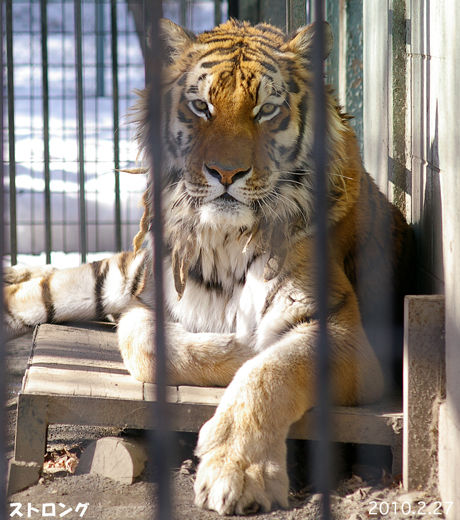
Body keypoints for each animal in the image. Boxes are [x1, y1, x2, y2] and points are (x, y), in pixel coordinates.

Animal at [4, 18, 414, 512]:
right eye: (201, 106)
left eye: (266, 110)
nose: (226, 173)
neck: (225, 241)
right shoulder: (148, 301)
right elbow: (151, 347)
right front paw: (237, 347)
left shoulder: (344, 335)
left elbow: (270, 371)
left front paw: (238, 471)